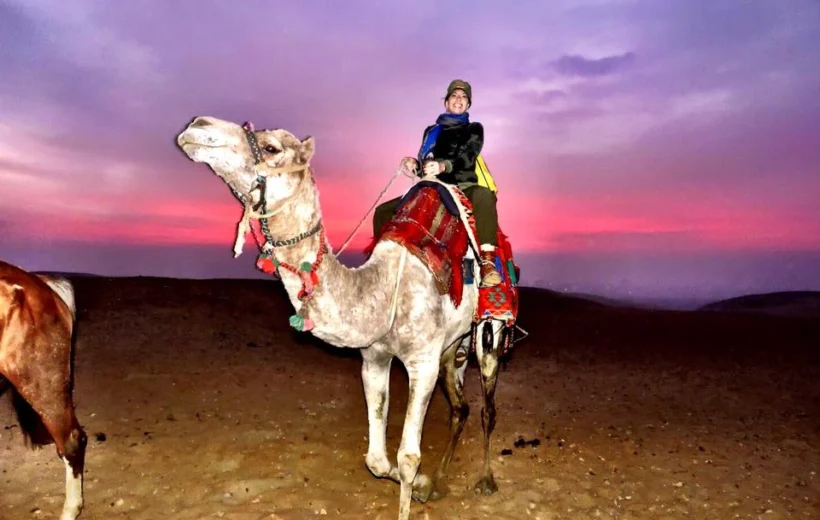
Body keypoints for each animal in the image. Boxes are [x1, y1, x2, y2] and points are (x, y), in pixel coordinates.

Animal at [178, 116, 520, 516]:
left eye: (272, 147)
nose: (198, 125)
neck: (384, 291)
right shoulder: (374, 358)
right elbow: (376, 460)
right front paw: (422, 484)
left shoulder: (422, 363)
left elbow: (407, 458)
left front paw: (415, 487)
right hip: (455, 347)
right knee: (461, 408)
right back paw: (439, 482)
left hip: (490, 333)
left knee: (486, 408)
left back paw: (486, 480)